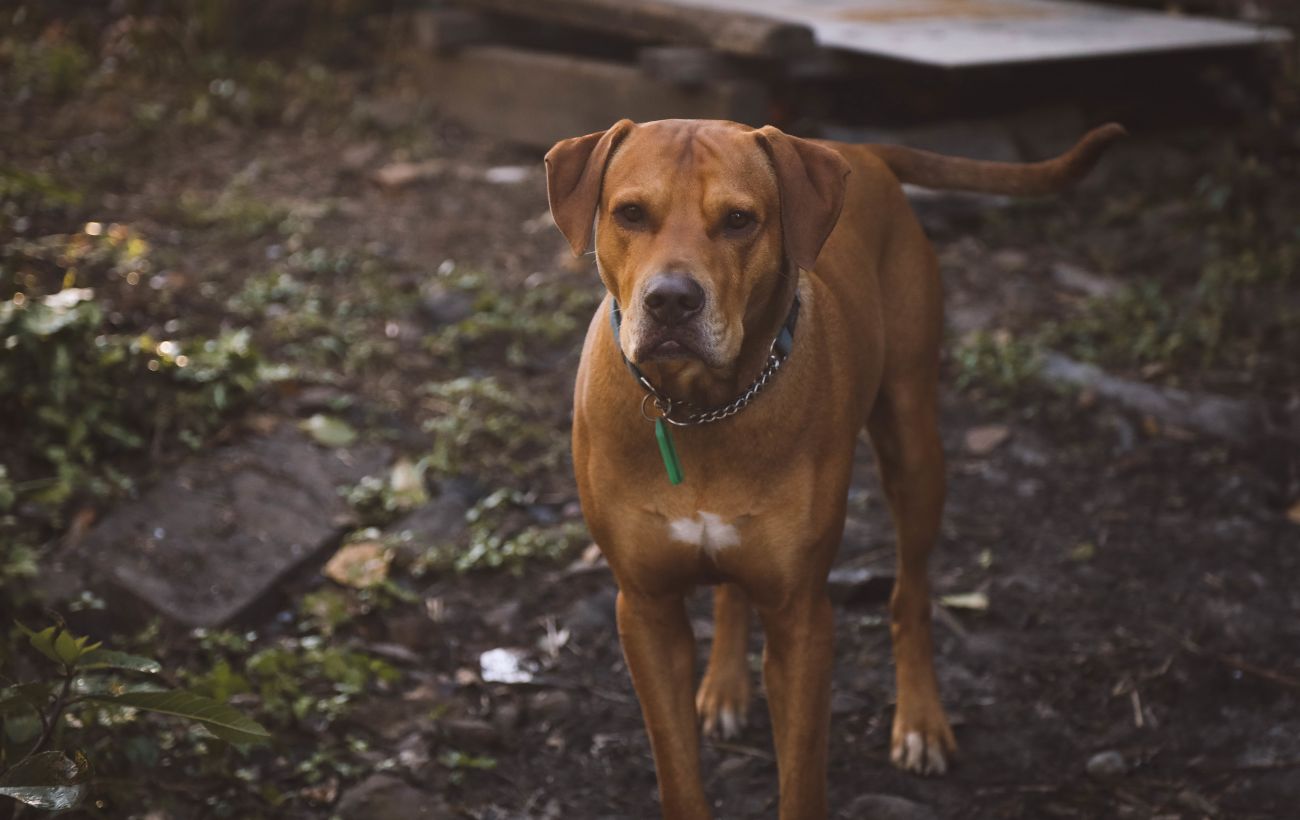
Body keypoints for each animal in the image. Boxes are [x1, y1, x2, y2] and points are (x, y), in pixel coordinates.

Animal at [543, 118, 1123, 816]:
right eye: (630, 213)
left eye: (739, 220)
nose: (673, 301)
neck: (701, 406)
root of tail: (861, 151)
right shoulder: (646, 609)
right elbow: (677, 772)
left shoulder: (802, 618)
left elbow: (802, 774)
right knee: (734, 591)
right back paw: (725, 686)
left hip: (914, 446)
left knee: (910, 595)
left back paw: (920, 721)